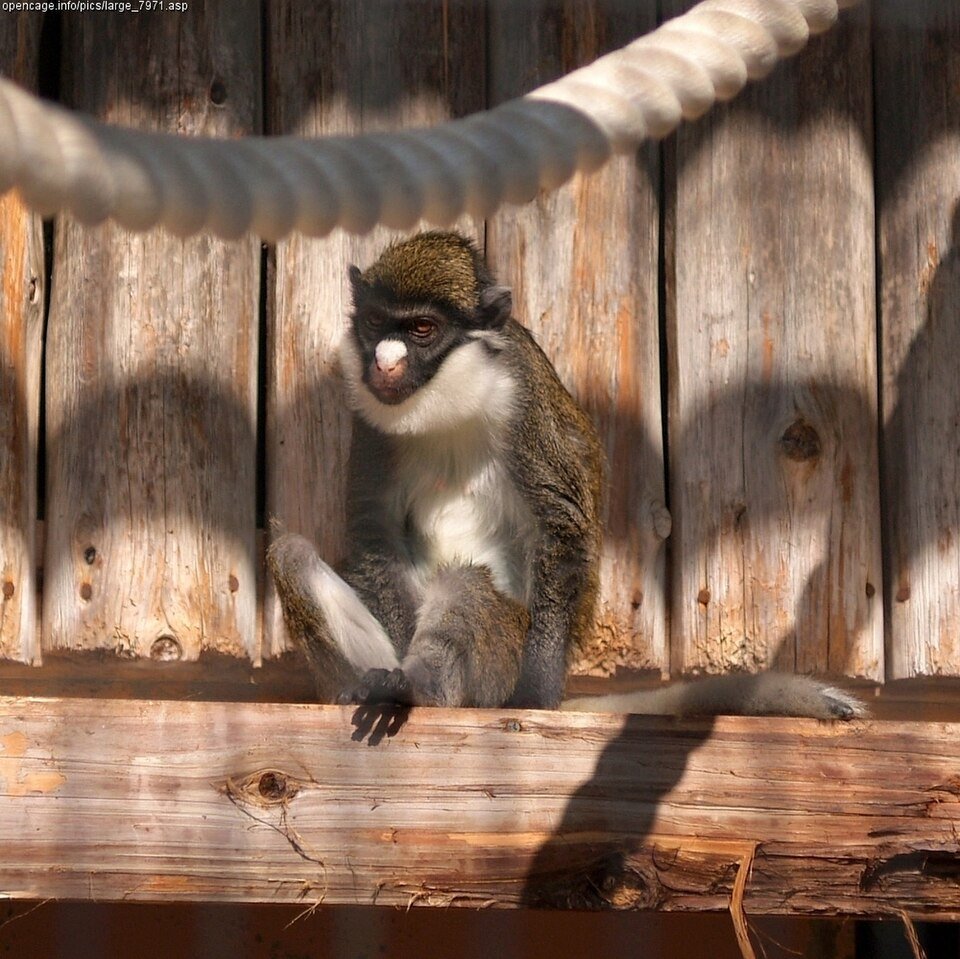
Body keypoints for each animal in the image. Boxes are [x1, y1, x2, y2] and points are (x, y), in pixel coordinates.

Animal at [268, 230, 865, 720]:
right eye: (374, 323)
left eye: (421, 329)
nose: (384, 362)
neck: (448, 402)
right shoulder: (370, 421)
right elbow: (374, 531)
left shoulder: (523, 397)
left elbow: (562, 526)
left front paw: (533, 697)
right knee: (291, 555)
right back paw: (369, 685)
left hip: (496, 667)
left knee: (466, 585)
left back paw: (419, 688)